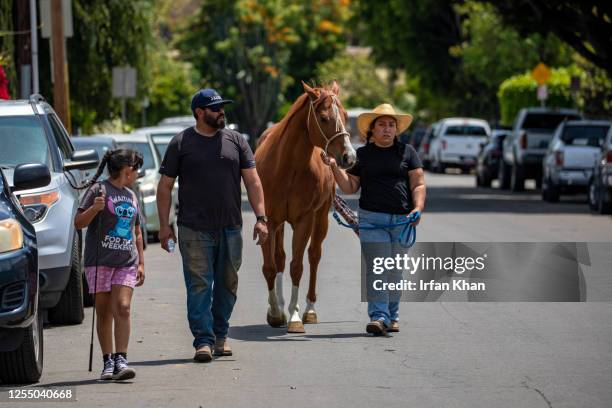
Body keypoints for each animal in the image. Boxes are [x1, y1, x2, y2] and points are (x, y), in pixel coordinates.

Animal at [255, 81, 358, 334]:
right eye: (323, 118)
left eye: (345, 115)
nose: (349, 157)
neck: (287, 167)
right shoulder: (269, 220)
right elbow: (271, 266)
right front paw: (276, 312)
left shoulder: (304, 220)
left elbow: (297, 266)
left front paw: (294, 316)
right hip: (281, 224)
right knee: (280, 258)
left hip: (320, 218)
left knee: (313, 256)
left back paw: (309, 309)